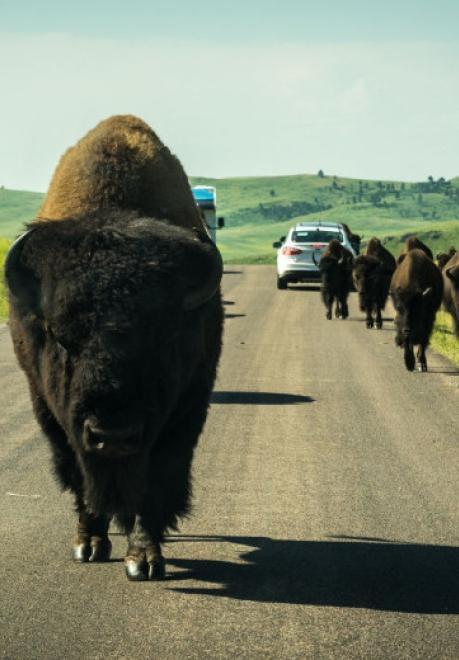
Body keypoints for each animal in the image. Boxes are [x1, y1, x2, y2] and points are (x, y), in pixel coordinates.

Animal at [4, 116, 225, 580]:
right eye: (59, 336)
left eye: (163, 337)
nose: (113, 435)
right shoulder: (52, 413)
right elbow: (79, 476)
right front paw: (88, 543)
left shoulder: (186, 407)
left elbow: (155, 483)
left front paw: (144, 559)